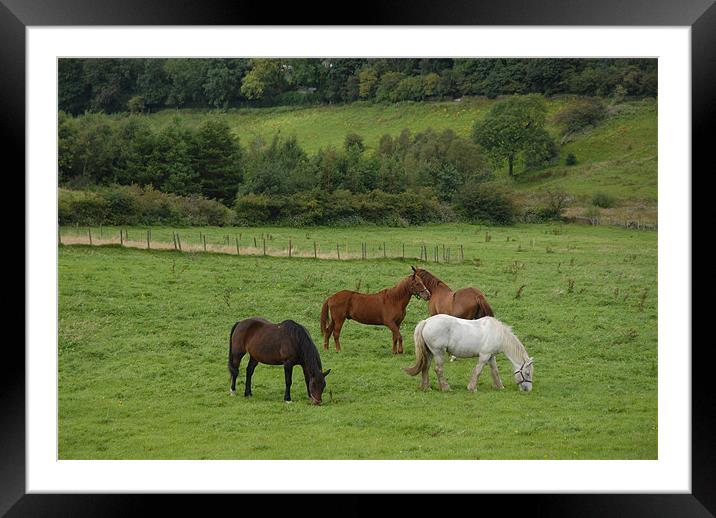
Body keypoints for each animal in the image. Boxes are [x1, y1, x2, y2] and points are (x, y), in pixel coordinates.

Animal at [402, 316, 532, 394]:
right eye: (527, 373)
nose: (528, 390)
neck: (497, 334)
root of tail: (426, 321)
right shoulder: (484, 356)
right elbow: (477, 371)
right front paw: (472, 388)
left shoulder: (491, 356)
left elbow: (495, 371)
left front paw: (500, 386)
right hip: (438, 353)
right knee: (438, 370)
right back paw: (446, 388)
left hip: (429, 353)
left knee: (425, 367)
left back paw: (426, 387)